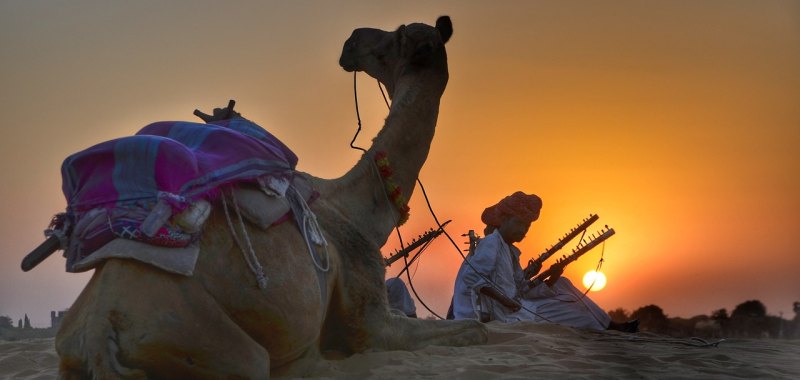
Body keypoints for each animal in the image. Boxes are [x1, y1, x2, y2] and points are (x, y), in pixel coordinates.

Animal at [54, 15, 488, 380]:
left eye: (396, 34)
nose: (352, 39)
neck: (358, 209)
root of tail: (99, 331)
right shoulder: (371, 321)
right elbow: (475, 328)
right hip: (217, 344)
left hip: (72, 349)